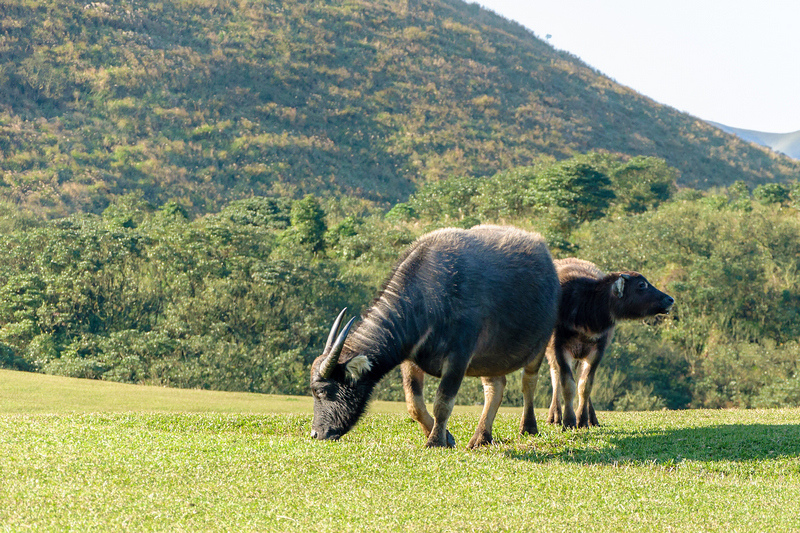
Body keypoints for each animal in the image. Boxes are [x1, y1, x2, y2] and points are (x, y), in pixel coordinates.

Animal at [310, 223, 560, 444]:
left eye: (323, 391)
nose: (315, 433)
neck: (427, 299)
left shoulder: (459, 357)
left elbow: (442, 402)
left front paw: (435, 440)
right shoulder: (410, 359)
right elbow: (414, 404)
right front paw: (443, 435)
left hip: (539, 344)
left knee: (528, 381)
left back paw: (528, 427)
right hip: (491, 356)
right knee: (495, 387)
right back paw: (481, 437)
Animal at [520, 256, 676, 430]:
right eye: (641, 285)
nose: (670, 299)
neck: (585, 311)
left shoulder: (597, 351)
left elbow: (585, 385)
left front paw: (582, 420)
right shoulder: (560, 348)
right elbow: (567, 385)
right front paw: (568, 420)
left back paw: (591, 418)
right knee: (555, 378)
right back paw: (554, 416)